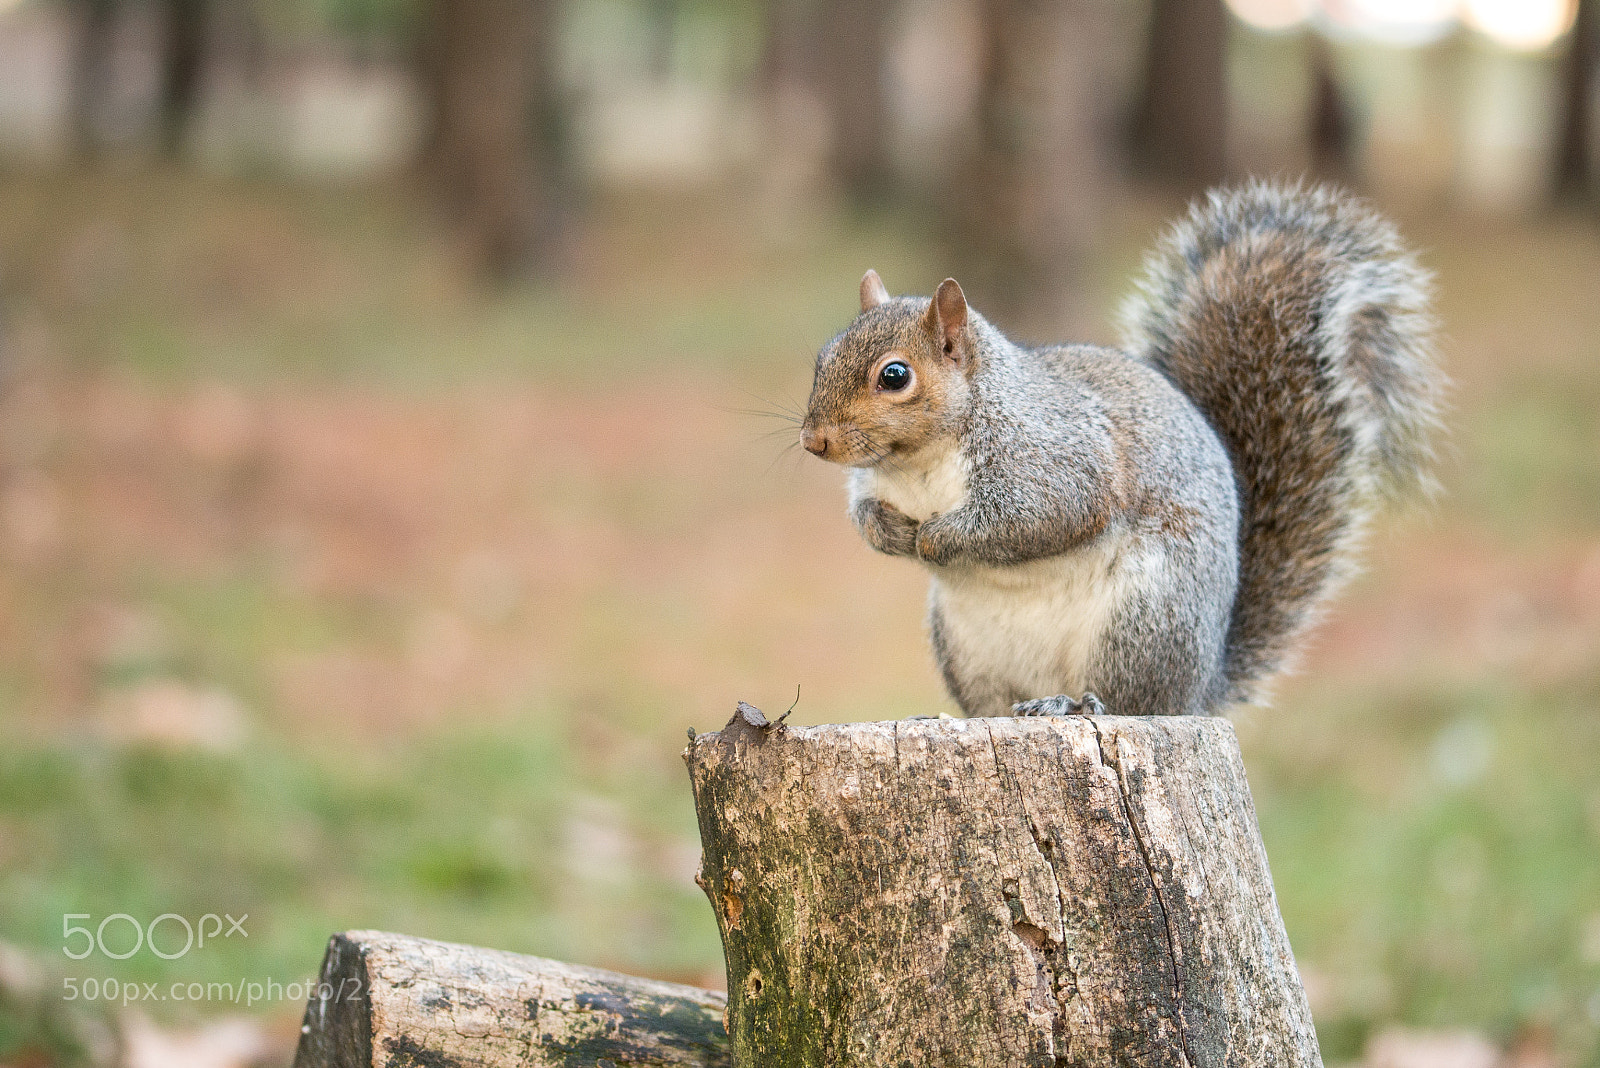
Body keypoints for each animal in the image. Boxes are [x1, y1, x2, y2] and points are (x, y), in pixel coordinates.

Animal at [799, 181, 1443, 718]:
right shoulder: (876, 478)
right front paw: (886, 530)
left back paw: (1072, 704)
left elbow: (1042, 516)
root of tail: (1199, 690)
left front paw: (938, 537)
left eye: (895, 376)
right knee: (995, 705)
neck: (919, 462)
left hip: (1143, 620)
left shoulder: (1056, 457)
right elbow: (863, 511)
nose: (813, 441)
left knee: (1128, 698)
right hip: (965, 650)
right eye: (822, 359)